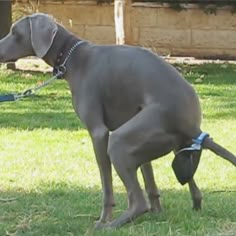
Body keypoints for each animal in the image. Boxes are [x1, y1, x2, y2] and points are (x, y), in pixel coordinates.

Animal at [0, 12, 236, 229]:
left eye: (15, 32)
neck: (72, 57)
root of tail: (189, 125)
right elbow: (149, 177)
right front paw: (157, 212)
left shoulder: (99, 133)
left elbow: (107, 184)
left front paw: (104, 218)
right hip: (167, 142)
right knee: (190, 183)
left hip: (120, 142)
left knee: (138, 200)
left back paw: (111, 226)